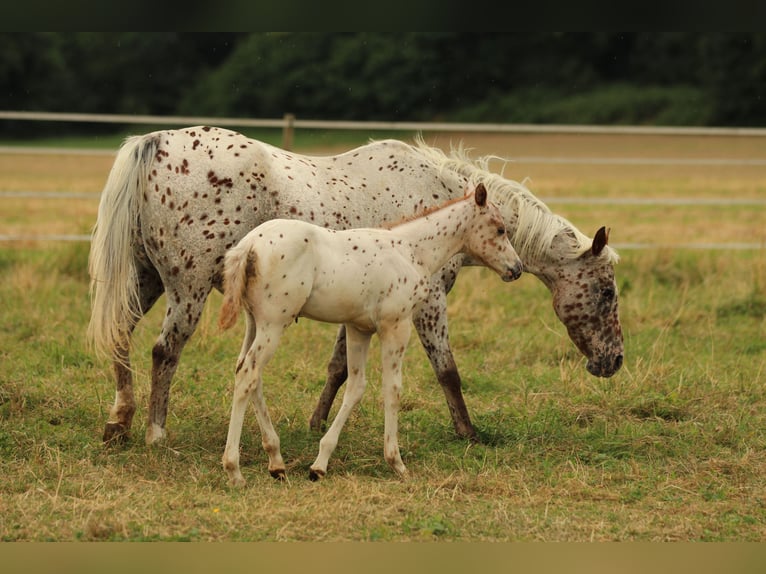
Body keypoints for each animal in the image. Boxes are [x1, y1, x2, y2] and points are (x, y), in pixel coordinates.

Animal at [88, 126, 623, 446]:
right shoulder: (429, 302)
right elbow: (448, 371)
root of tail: (157, 142)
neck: (440, 202)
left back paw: (120, 423)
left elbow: (339, 368)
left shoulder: (359, 307)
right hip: (188, 289)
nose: (614, 361)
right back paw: (156, 433)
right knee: (164, 351)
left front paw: (316, 424)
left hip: (146, 281)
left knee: (121, 338)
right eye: (606, 292)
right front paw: (469, 433)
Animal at [217, 184, 523, 485]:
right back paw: (234, 470)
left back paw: (276, 461)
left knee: (246, 371)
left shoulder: (359, 329)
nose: (516, 268)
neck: (411, 251)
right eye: (500, 229)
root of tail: (248, 245)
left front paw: (320, 464)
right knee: (249, 374)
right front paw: (396, 462)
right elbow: (393, 388)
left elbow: (356, 387)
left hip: (254, 322)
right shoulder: (396, 325)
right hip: (274, 323)